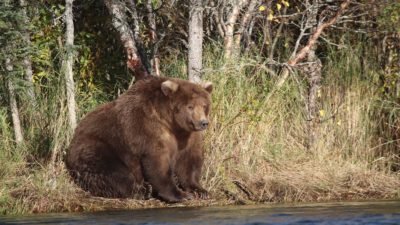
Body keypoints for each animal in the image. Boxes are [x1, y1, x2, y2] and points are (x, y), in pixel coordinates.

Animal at [65, 75, 212, 202]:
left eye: (204, 105)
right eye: (190, 106)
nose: (203, 123)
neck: (171, 122)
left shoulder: (187, 136)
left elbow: (188, 161)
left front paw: (200, 190)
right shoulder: (147, 128)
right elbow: (158, 162)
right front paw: (180, 194)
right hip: (98, 147)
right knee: (112, 172)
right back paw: (143, 190)